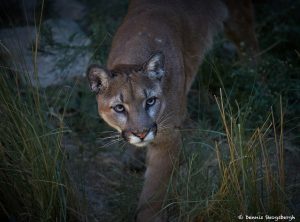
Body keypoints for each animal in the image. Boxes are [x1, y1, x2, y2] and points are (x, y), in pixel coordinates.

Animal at [87, 0, 258, 221]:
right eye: (119, 107)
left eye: (150, 101)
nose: (141, 133)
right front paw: (133, 157)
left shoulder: (168, 138)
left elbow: (154, 190)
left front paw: (149, 216)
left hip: (239, 19)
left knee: (250, 45)